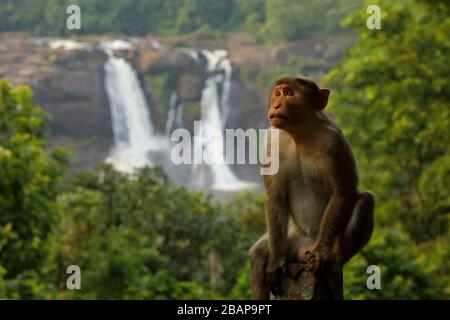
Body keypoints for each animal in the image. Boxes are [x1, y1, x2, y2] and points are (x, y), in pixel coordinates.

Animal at [251, 76, 374, 298]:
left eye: (289, 93)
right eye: (277, 93)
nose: (276, 105)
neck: (299, 135)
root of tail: (303, 249)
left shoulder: (334, 142)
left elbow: (343, 192)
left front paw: (322, 255)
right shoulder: (272, 140)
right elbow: (275, 196)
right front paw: (274, 264)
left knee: (366, 201)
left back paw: (334, 261)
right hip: (289, 239)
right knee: (258, 255)